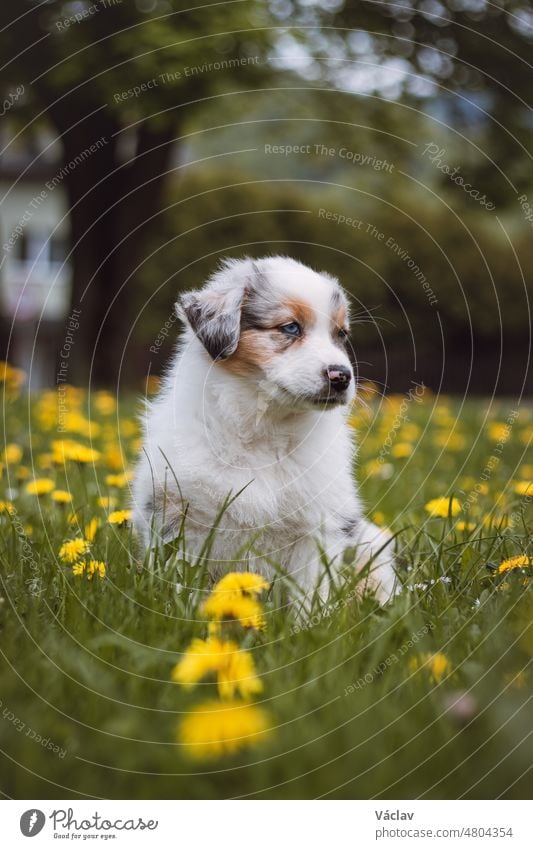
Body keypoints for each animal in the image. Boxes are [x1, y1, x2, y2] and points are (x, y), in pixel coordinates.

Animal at [131, 255, 392, 600]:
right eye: (291, 327)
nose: (342, 377)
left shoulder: (316, 527)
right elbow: (182, 583)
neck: (263, 428)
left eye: (341, 334)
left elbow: (309, 594)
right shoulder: (178, 512)